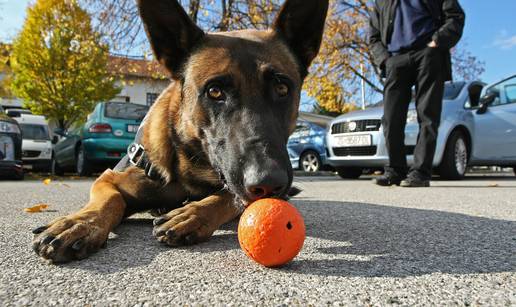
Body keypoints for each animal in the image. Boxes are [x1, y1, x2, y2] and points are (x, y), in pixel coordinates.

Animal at [32, 0, 328, 264]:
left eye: (282, 88)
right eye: (215, 92)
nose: (268, 183)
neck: (191, 168)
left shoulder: (235, 190)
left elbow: (226, 197)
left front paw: (192, 215)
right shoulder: (109, 178)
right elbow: (108, 199)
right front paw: (79, 223)